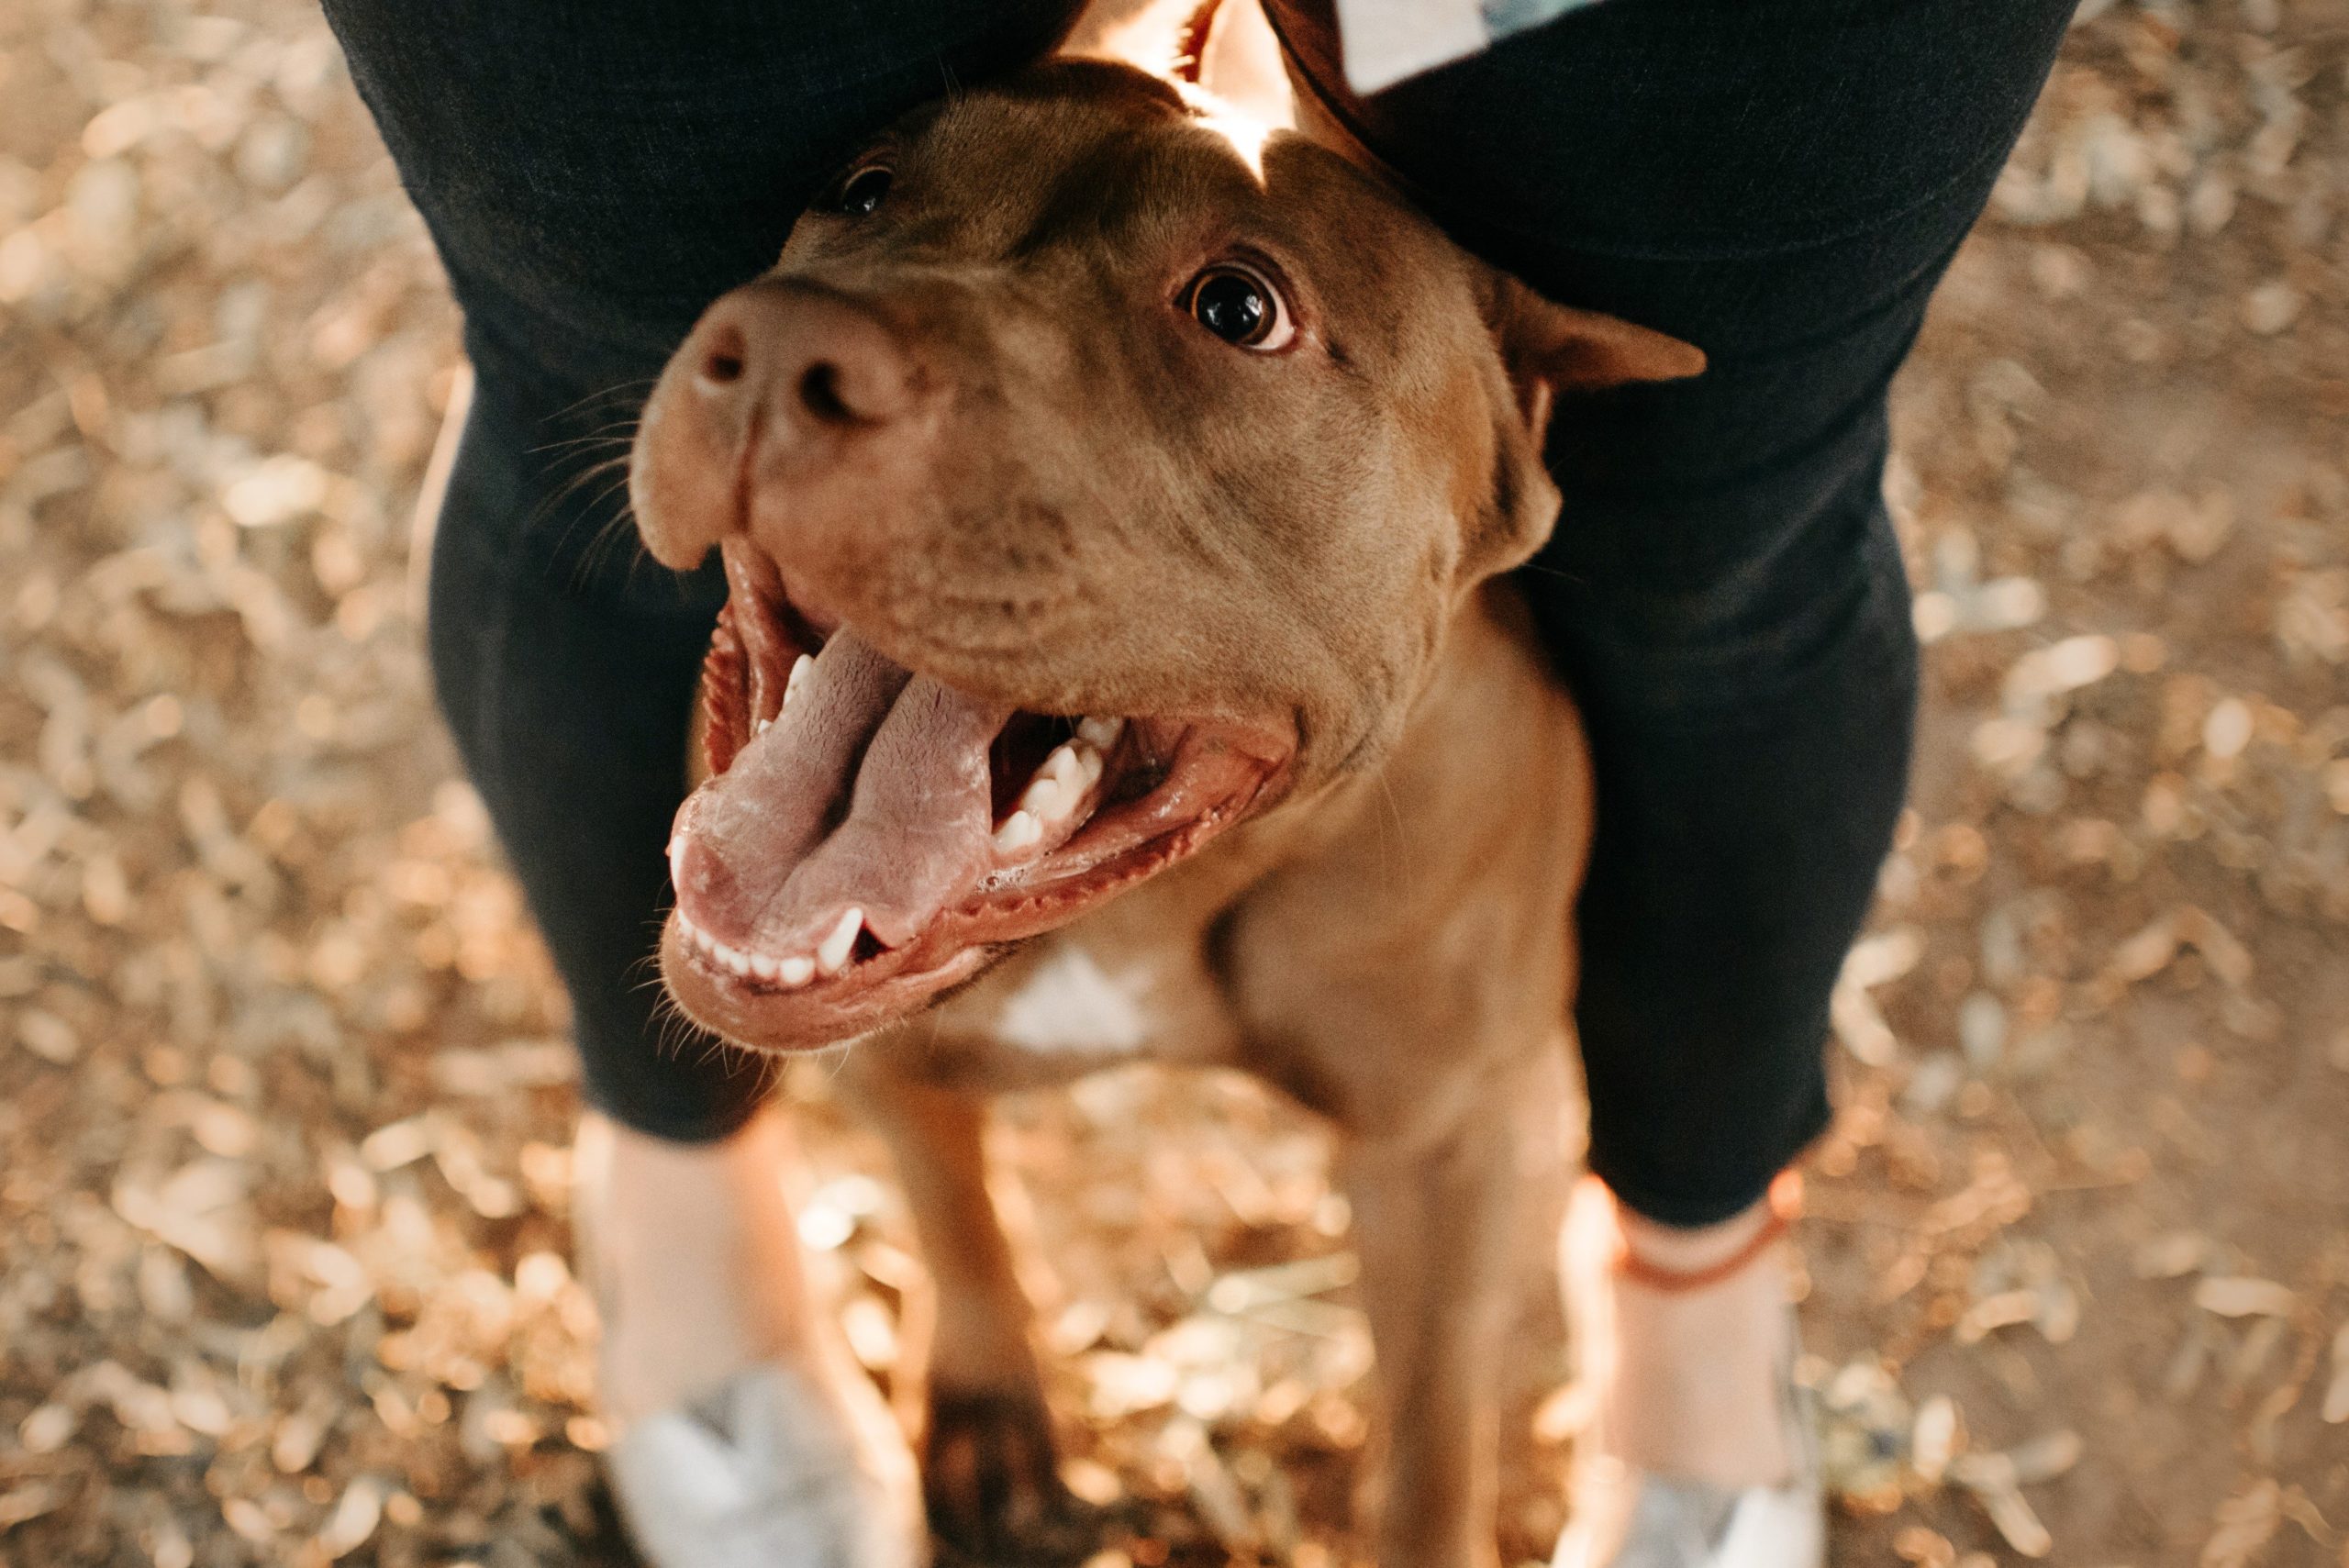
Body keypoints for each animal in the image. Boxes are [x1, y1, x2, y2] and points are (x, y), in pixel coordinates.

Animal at [634, 55, 1700, 1558]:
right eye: (863, 190)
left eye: (1239, 308)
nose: (783, 346)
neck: (1161, 899)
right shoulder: (893, 1061)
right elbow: (953, 1209)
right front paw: (990, 1405)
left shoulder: (1448, 1145)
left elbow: (1434, 1433)